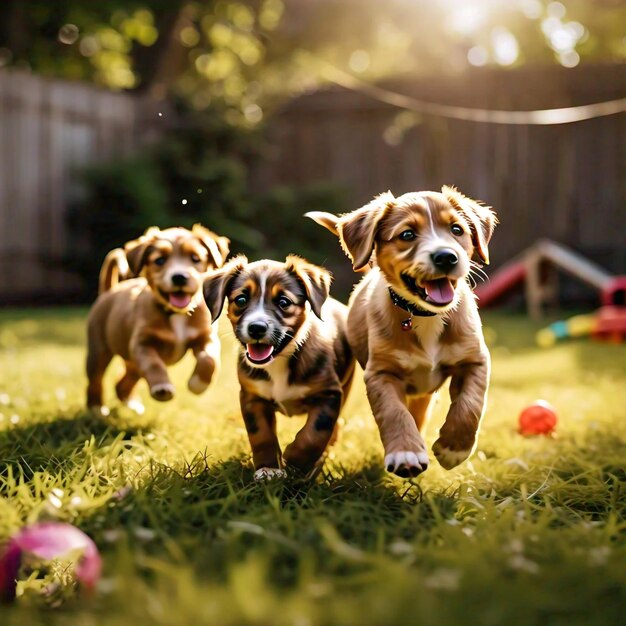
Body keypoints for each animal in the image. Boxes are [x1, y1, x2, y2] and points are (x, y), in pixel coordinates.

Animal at [84, 224, 228, 414]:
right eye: (159, 260)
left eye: (195, 258)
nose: (179, 277)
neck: (176, 314)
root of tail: (109, 291)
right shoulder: (142, 344)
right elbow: (154, 364)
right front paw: (161, 387)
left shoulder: (205, 337)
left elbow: (209, 358)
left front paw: (199, 384)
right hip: (98, 351)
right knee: (95, 381)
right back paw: (96, 408)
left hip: (132, 363)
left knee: (122, 383)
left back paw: (131, 404)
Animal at [202, 254, 354, 478]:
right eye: (241, 300)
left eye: (284, 302)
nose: (256, 328)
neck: (280, 360)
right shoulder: (252, 397)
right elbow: (261, 435)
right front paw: (269, 468)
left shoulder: (330, 394)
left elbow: (315, 433)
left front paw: (296, 463)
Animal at [304, 188, 494, 476]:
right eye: (407, 234)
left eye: (456, 229)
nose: (446, 256)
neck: (423, 315)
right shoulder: (380, 372)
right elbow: (394, 412)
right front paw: (406, 453)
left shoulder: (474, 360)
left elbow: (470, 404)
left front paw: (453, 448)